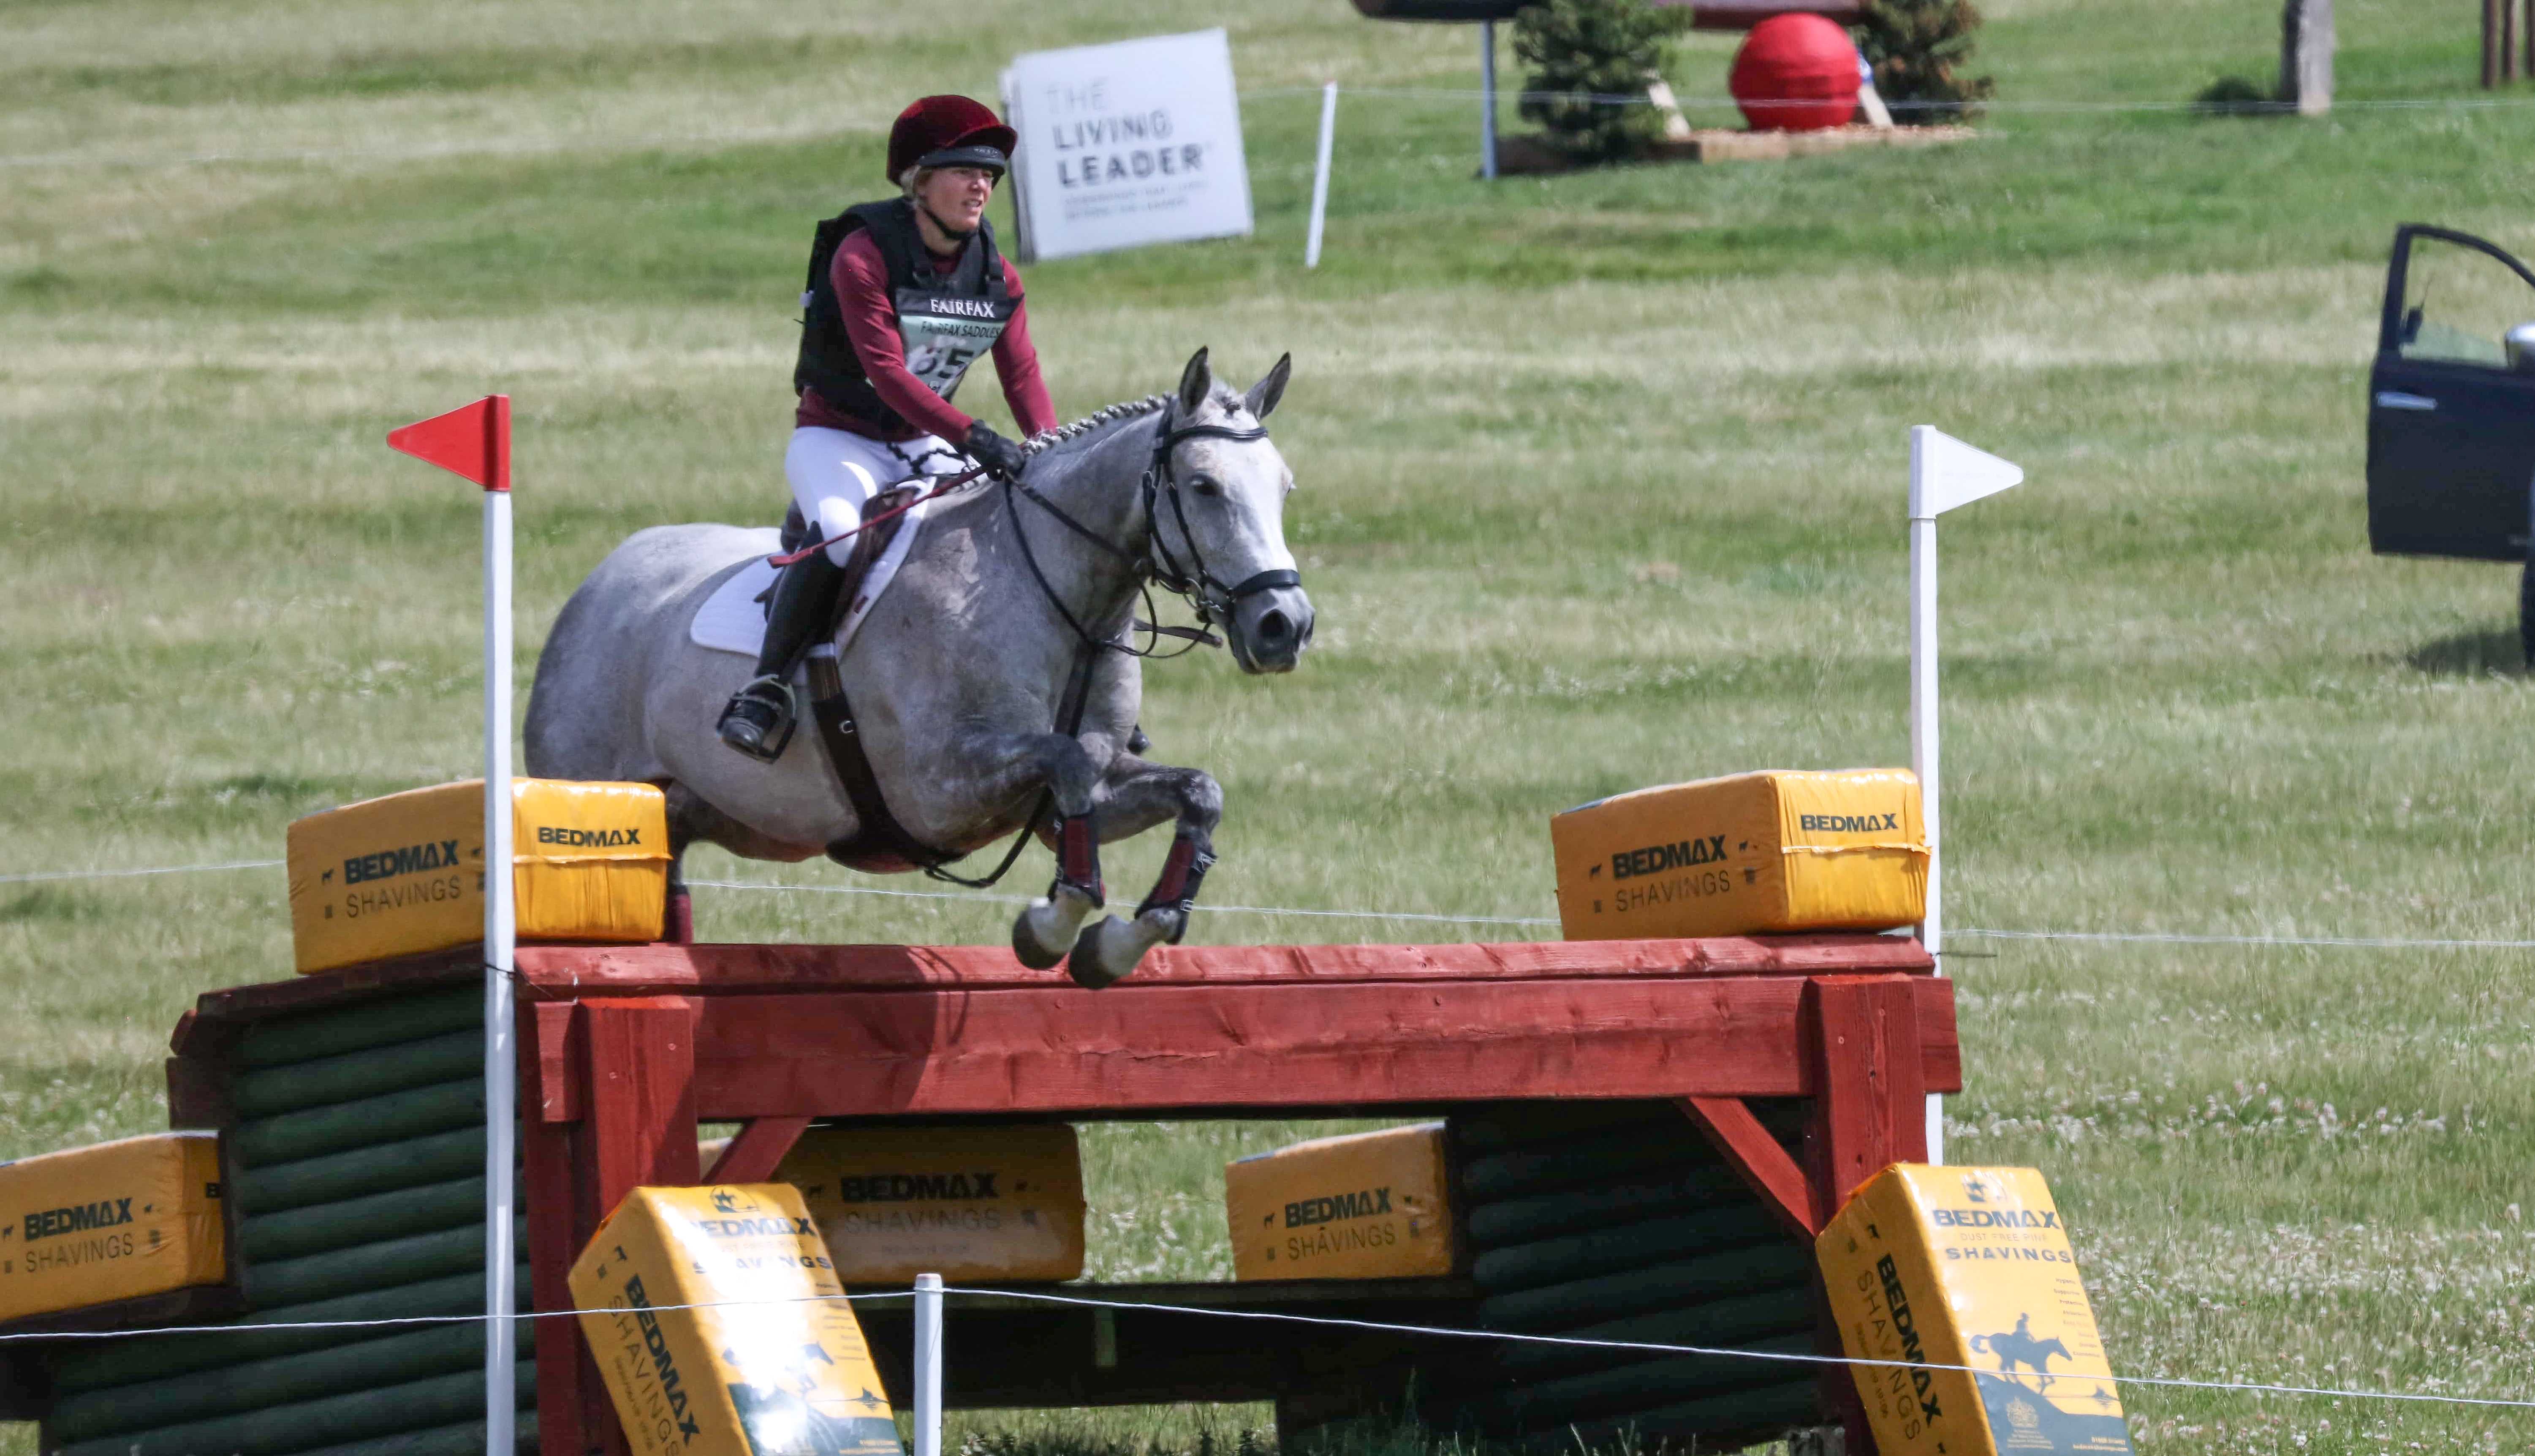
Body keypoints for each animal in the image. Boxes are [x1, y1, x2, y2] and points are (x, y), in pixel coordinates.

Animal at [514, 349, 1308, 992]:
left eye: (1284, 488)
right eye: (1203, 486)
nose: (1284, 625)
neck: (1049, 589)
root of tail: (598, 584)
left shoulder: (1082, 797)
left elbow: (1194, 793)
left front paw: (1119, 943)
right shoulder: (936, 788)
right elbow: (1066, 761)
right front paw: (1050, 927)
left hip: (684, 817)